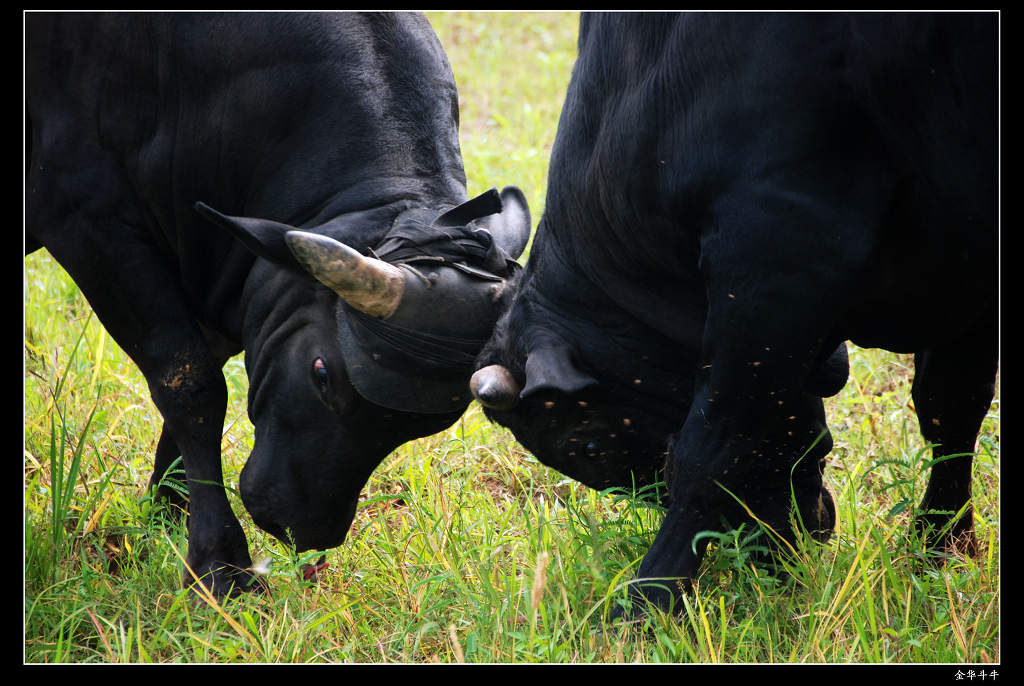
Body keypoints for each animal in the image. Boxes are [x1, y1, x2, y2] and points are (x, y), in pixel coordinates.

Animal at [28, 13, 532, 597]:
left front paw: (167, 510)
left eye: (425, 426)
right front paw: (220, 563)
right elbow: (190, 384)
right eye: (321, 373)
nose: (308, 528)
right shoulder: (86, 218)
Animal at [473, 13, 999, 618]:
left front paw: (646, 603)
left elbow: (711, 451)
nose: (770, 546)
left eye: (586, 443)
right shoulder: (967, 278)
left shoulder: (775, 255)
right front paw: (940, 547)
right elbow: (950, 410)